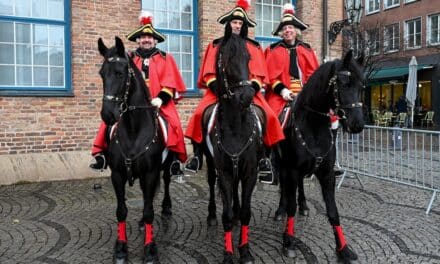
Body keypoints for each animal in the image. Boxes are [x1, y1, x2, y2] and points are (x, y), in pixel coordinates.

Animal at [98, 37, 174, 264]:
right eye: (101, 73)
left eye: (119, 73)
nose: (107, 115)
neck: (133, 130)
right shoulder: (117, 174)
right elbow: (121, 211)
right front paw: (121, 248)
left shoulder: (150, 173)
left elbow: (149, 211)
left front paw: (150, 250)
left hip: (166, 165)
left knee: (166, 181)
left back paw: (166, 206)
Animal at [201, 34, 262, 262]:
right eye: (226, 60)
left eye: (248, 58)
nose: (246, 96)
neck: (236, 126)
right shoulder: (225, 172)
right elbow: (225, 214)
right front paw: (228, 254)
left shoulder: (250, 172)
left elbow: (246, 212)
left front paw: (244, 251)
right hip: (211, 164)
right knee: (211, 184)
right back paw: (211, 215)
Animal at [278, 50, 364, 262]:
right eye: (344, 83)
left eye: (362, 86)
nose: (357, 124)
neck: (314, 125)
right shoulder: (292, 169)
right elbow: (291, 206)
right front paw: (288, 241)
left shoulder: (327, 174)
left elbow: (333, 212)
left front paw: (343, 249)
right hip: (280, 163)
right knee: (284, 187)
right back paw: (280, 209)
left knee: (299, 187)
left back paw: (304, 205)